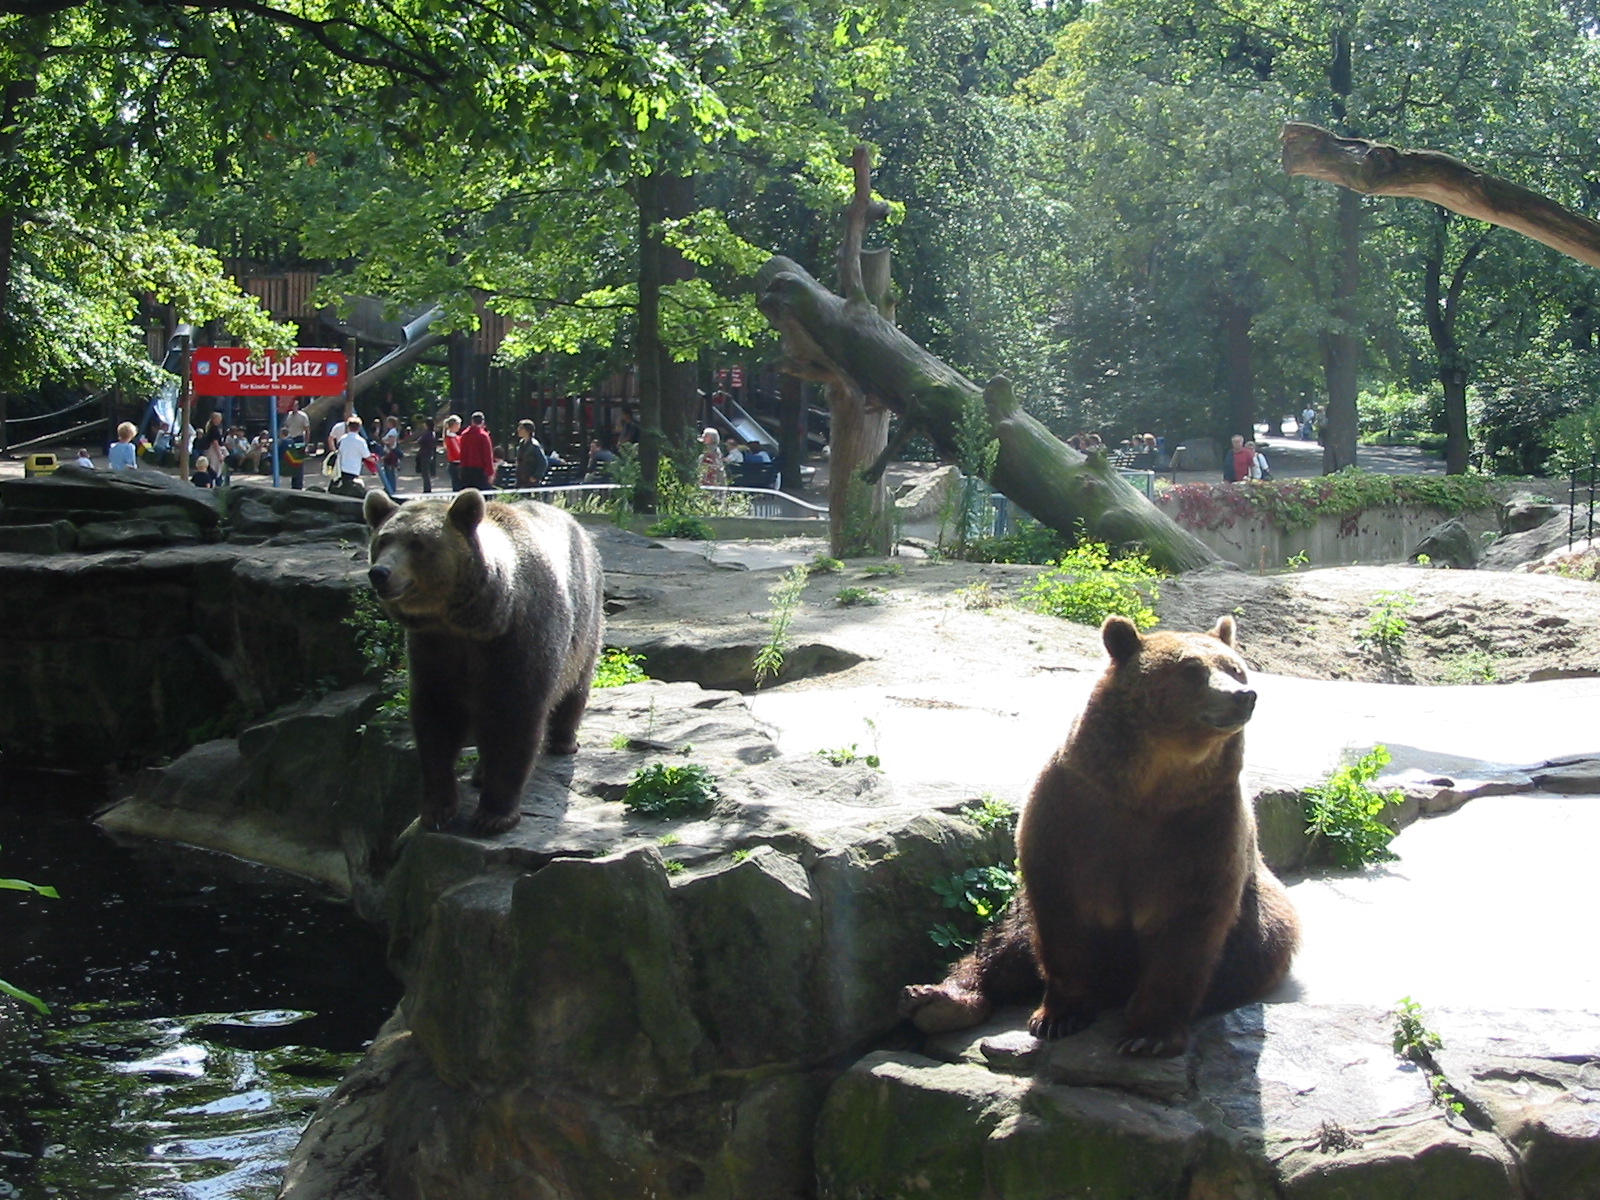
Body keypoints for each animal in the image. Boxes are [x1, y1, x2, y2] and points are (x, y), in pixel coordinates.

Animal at [363, 488, 604, 837]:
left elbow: (514, 717)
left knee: (576, 686)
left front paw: (494, 814)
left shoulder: (518, 639)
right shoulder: (435, 647)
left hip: (586, 622)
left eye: (418, 543)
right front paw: (437, 810)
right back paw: (479, 772)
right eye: (383, 540)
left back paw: (563, 741)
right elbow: (437, 718)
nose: (380, 573)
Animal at [901, 614, 1299, 1057]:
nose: (1244, 695)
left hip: (1263, 933)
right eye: (1193, 669)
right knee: (1005, 944)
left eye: (1235, 668)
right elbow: (1062, 918)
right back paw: (936, 1000)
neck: (1149, 787)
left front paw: (1149, 1035)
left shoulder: (1201, 826)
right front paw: (1058, 1016)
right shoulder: (1076, 810)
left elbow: (1186, 931)